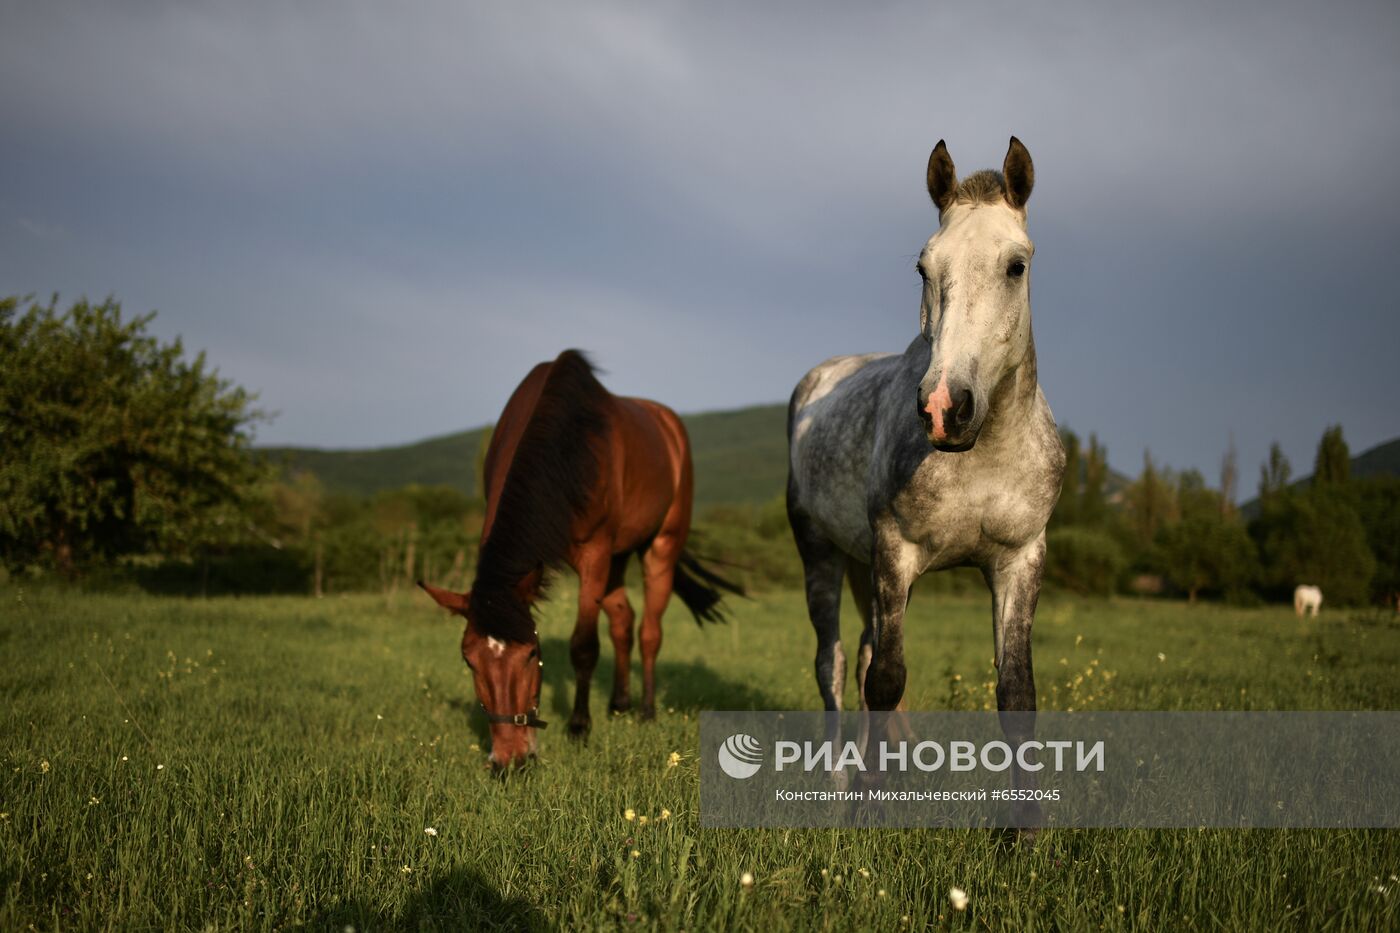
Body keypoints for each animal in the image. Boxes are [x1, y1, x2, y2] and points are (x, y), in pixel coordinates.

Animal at [420, 344, 739, 767]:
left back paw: (646, 711)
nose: (510, 760)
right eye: (468, 659)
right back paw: (619, 705)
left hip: (660, 547)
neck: (568, 449)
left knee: (649, 631)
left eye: (531, 653)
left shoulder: (594, 555)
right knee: (623, 620)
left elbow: (584, 645)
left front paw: (579, 727)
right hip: (619, 557)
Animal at [789, 137, 1058, 806]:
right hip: (823, 554)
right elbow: (887, 678)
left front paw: (1023, 829)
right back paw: (839, 774)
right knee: (835, 663)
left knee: (860, 653)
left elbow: (1017, 693)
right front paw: (864, 802)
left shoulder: (1020, 560)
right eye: (923, 269)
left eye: (1016, 266)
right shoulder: (896, 550)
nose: (944, 408)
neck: (981, 456)